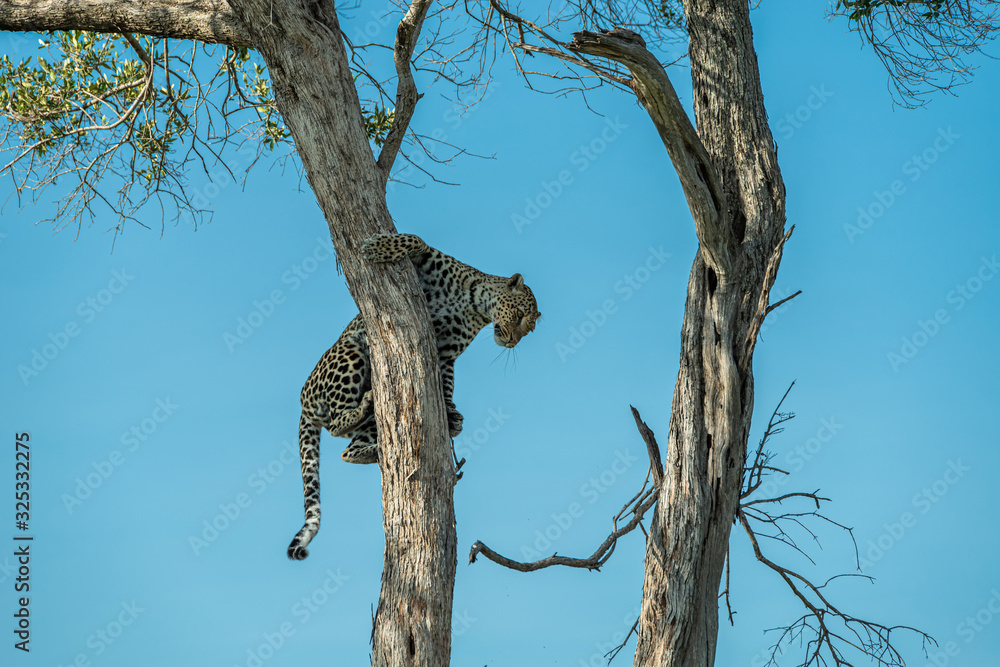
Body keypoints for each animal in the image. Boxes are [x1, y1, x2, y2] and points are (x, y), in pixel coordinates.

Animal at [287, 233, 541, 560]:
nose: (511, 341)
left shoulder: (445, 353)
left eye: (529, 329)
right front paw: (378, 247)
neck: (476, 304)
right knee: (334, 424)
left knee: (348, 448)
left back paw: (381, 449)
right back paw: (365, 412)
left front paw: (452, 415)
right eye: (520, 314)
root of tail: (303, 404)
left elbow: (446, 385)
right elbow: (416, 240)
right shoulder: (430, 264)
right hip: (351, 351)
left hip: (373, 414)